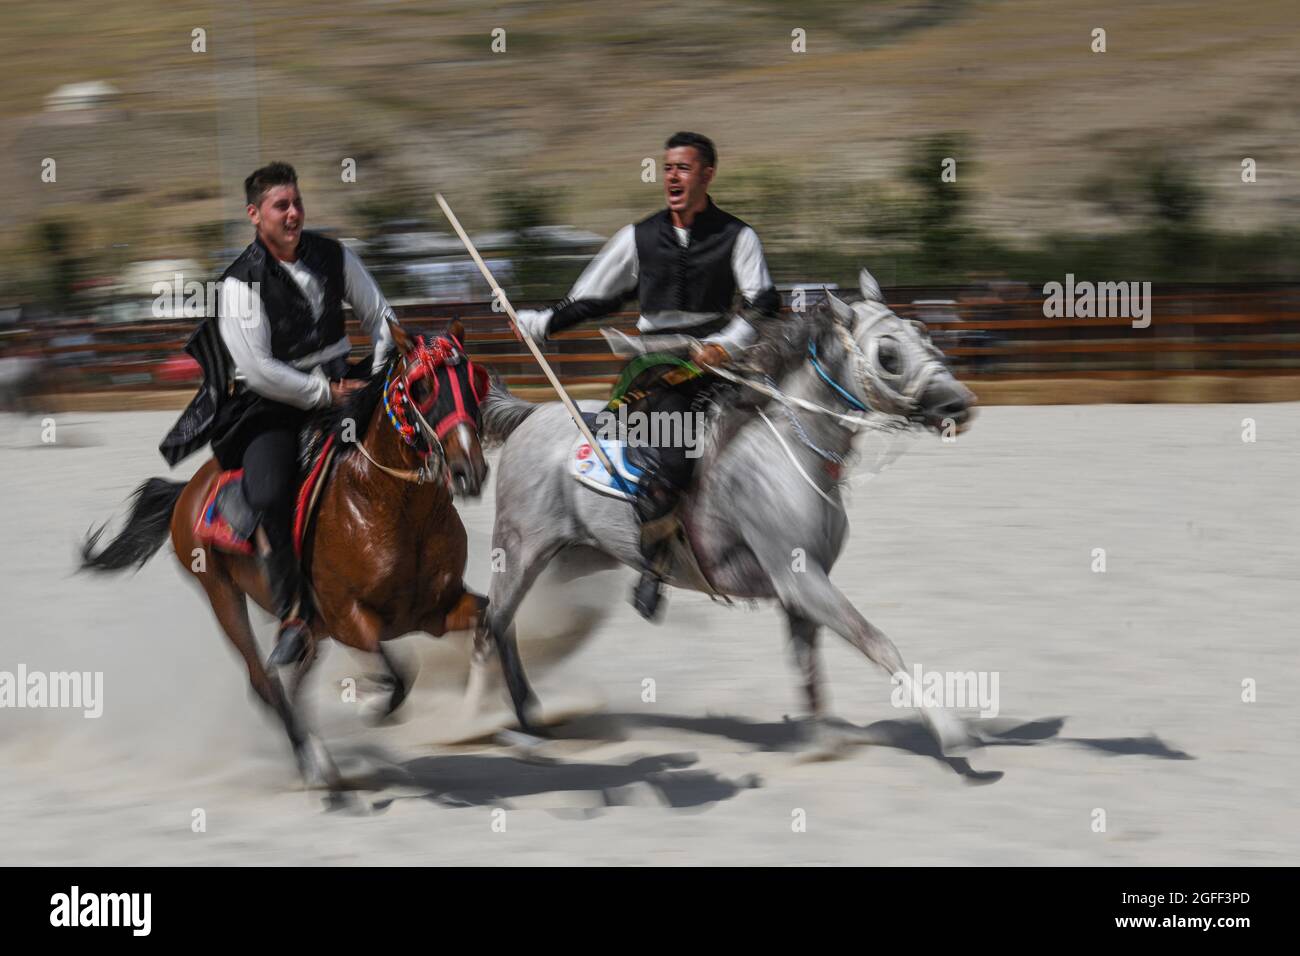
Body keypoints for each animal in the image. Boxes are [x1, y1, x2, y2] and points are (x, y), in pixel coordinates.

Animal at [82, 319, 491, 785]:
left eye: (475, 380)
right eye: (422, 386)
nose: (469, 470)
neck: (384, 504)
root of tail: (187, 491)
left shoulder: (438, 609)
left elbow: (484, 624)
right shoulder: (351, 620)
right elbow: (400, 677)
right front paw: (367, 704)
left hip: (310, 628)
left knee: (293, 680)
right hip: (224, 596)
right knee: (264, 681)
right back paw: (316, 768)